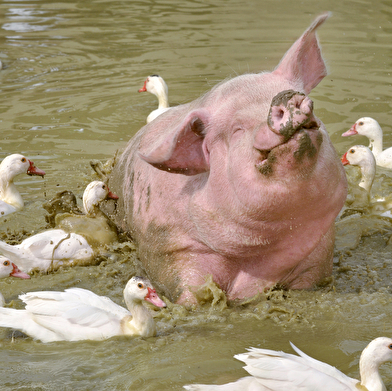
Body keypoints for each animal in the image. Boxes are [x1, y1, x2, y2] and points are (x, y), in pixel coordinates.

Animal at [107, 12, 346, 304]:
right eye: (237, 129)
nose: (286, 97)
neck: (259, 254)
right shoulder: (173, 248)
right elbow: (189, 291)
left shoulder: (317, 252)